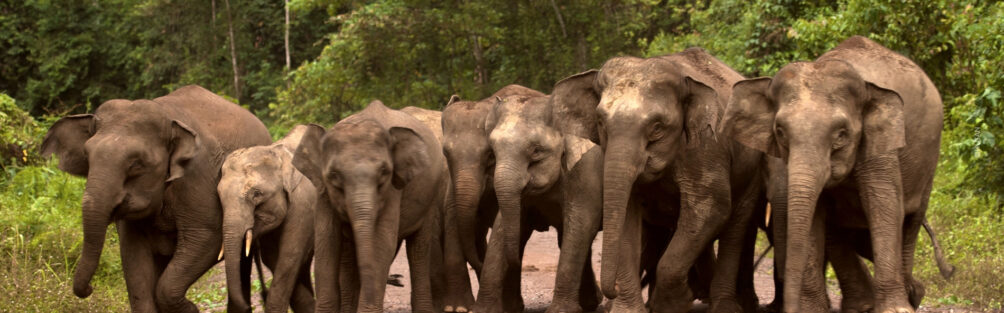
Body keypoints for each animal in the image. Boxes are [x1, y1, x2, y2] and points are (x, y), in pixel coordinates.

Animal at [41, 84, 273, 310]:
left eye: (136, 164)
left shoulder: (200, 179)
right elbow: (135, 263)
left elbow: (205, 237)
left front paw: (191, 309)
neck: (169, 117)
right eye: (87, 158)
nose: (90, 288)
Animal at [217, 124, 315, 313]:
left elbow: (289, 256)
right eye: (219, 196)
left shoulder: (304, 204)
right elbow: (271, 257)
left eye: (257, 194)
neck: (277, 154)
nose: (248, 306)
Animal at [291, 100, 447, 313]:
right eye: (333, 175)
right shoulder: (322, 191)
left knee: (419, 249)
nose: (398, 281)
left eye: (384, 172)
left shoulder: (393, 189)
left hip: (431, 196)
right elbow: (326, 242)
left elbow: (381, 243)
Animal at [475, 89, 606, 313]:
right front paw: (483, 310)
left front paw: (561, 311)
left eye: (537, 151)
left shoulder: (587, 171)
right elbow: (502, 228)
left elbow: (581, 225)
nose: (521, 263)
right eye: (492, 152)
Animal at [722, 34, 939, 313]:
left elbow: (884, 206)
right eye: (780, 131)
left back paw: (911, 295)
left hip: (928, 164)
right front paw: (812, 310)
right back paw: (866, 304)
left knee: (910, 221)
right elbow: (815, 212)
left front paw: (896, 310)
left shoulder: (881, 145)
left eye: (841, 135)